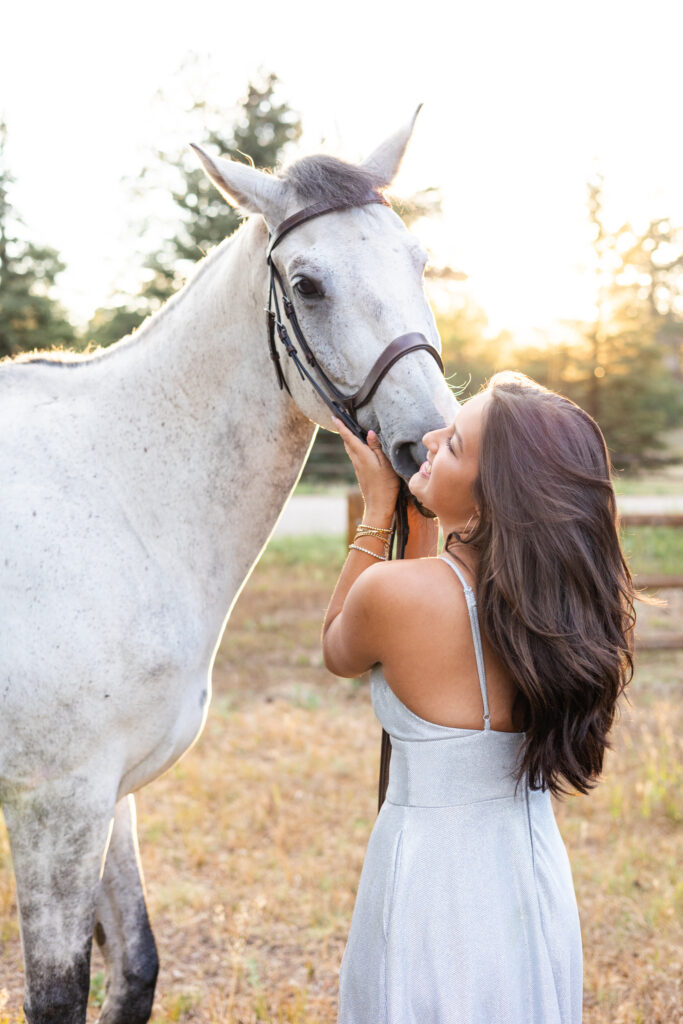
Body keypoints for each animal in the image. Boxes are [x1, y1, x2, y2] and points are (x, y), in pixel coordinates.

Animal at [1, 108, 458, 1019]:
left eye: (417, 260)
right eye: (308, 285)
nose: (426, 445)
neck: (121, 495)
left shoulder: (111, 793)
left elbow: (135, 966)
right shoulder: (55, 804)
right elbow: (57, 995)